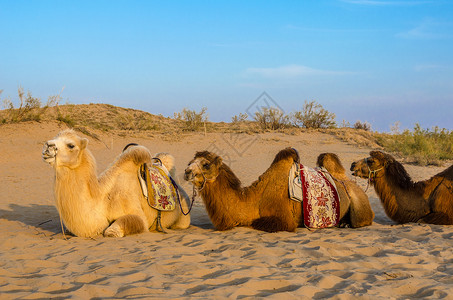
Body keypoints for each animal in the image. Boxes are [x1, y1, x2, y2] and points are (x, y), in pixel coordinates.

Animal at [41, 130, 190, 238]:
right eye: (54, 137)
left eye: (71, 145)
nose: (48, 146)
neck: (102, 199)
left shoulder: (136, 214)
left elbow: (111, 231)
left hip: (184, 216)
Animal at [184, 148, 374, 232]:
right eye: (190, 162)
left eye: (206, 164)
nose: (187, 172)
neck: (254, 200)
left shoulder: (283, 220)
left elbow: (258, 223)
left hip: (359, 203)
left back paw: (346, 223)